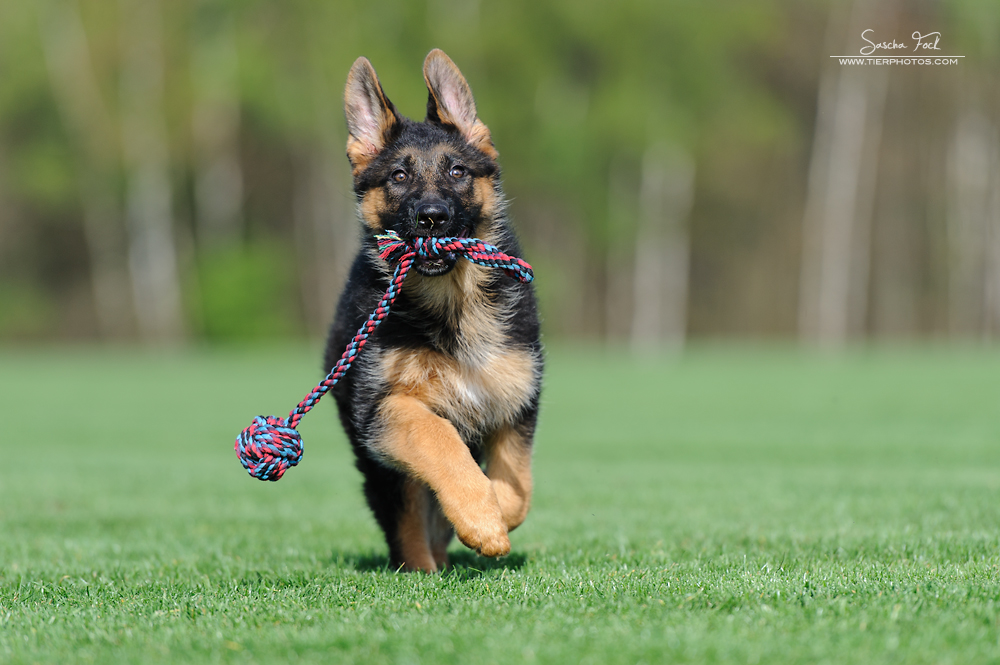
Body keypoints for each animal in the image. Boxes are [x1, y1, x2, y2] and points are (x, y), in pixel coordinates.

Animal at [324, 48, 544, 572]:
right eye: (399, 176)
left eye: (457, 171)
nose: (432, 218)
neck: (452, 300)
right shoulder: (384, 409)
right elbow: (439, 439)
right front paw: (482, 519)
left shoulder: (516, 400)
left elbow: (518, 489)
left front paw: (493, 513)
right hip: (377, 463)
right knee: (406, 521)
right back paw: (423, 569)